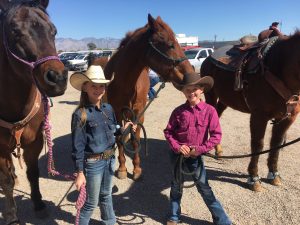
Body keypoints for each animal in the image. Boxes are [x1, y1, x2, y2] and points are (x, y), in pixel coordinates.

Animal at [0, 0, 67, 224]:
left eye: (54, 31)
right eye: (14, 31)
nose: (57, 78)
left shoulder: (34, 141)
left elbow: (33, 173)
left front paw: (39, 205)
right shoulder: (0, 148)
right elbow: (6, 180)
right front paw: (12, 216)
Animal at [96, 14, 193, 180]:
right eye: (170, 44)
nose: (192, 75)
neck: (125, 81)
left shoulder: (138, 113)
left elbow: (135, 141)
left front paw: (136, 169)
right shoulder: (117, 111)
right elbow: (119, 139)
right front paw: (122, 168)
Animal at [200, 31, 300, 192]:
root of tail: (209, 58)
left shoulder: (288, 117)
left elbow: (276, 143)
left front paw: (274, 174)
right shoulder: (259, 116)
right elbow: (258, 144)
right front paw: (254, 179)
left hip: (225, 99)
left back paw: (218, 151)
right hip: (210, 94)